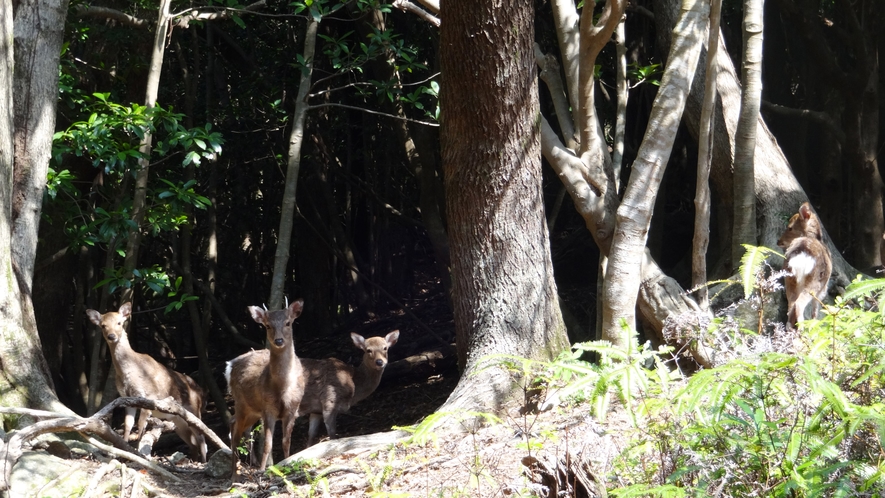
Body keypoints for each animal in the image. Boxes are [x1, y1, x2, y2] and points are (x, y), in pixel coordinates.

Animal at [85, 304, 208, 462]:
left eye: (119, 323)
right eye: (103, 325)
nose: (112, 336)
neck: (128, 372)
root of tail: (203, 394)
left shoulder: (148, 397)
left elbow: (140, 426)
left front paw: (140, 453)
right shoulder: (127, 398)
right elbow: (128, 425)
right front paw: (124, 451)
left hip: (193, 410)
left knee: (202, 438)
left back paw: (203, 462)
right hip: (177, 420)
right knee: (193, 441)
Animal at [226, 298, 306, 480]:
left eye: (288, 322)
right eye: (268, 326)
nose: (279, 341)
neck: (283, 388)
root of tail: (229, 365)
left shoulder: (293, 408)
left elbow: (286, 441)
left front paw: (288, 462)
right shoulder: (268, 408)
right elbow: (268, 443)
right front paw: (263, 470)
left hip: (253, 410)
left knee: (238, 426)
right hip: (241, 403)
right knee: (235, 432)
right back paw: (234, 475)